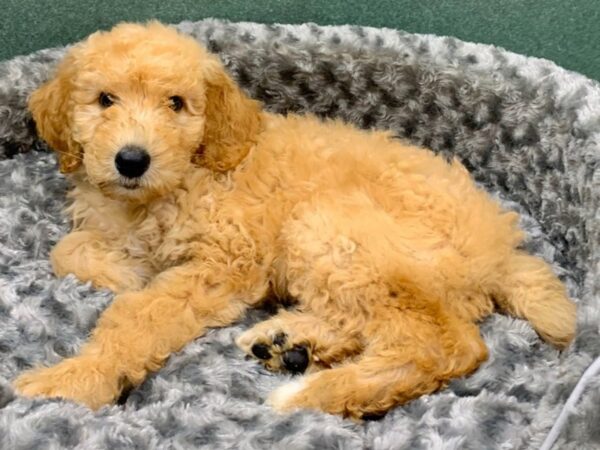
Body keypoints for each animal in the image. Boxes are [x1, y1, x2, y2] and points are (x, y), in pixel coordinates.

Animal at [15, 21, 576, 420]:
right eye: (104, 100)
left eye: (176, 104)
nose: (132, 160)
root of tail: (503, 250)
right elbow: (66, 250)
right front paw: (125, 269)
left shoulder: (225, 263)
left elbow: (138, 317)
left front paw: (73, 380)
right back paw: (292, 344)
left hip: (329, 230)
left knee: (442, 343)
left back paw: (312, 394)